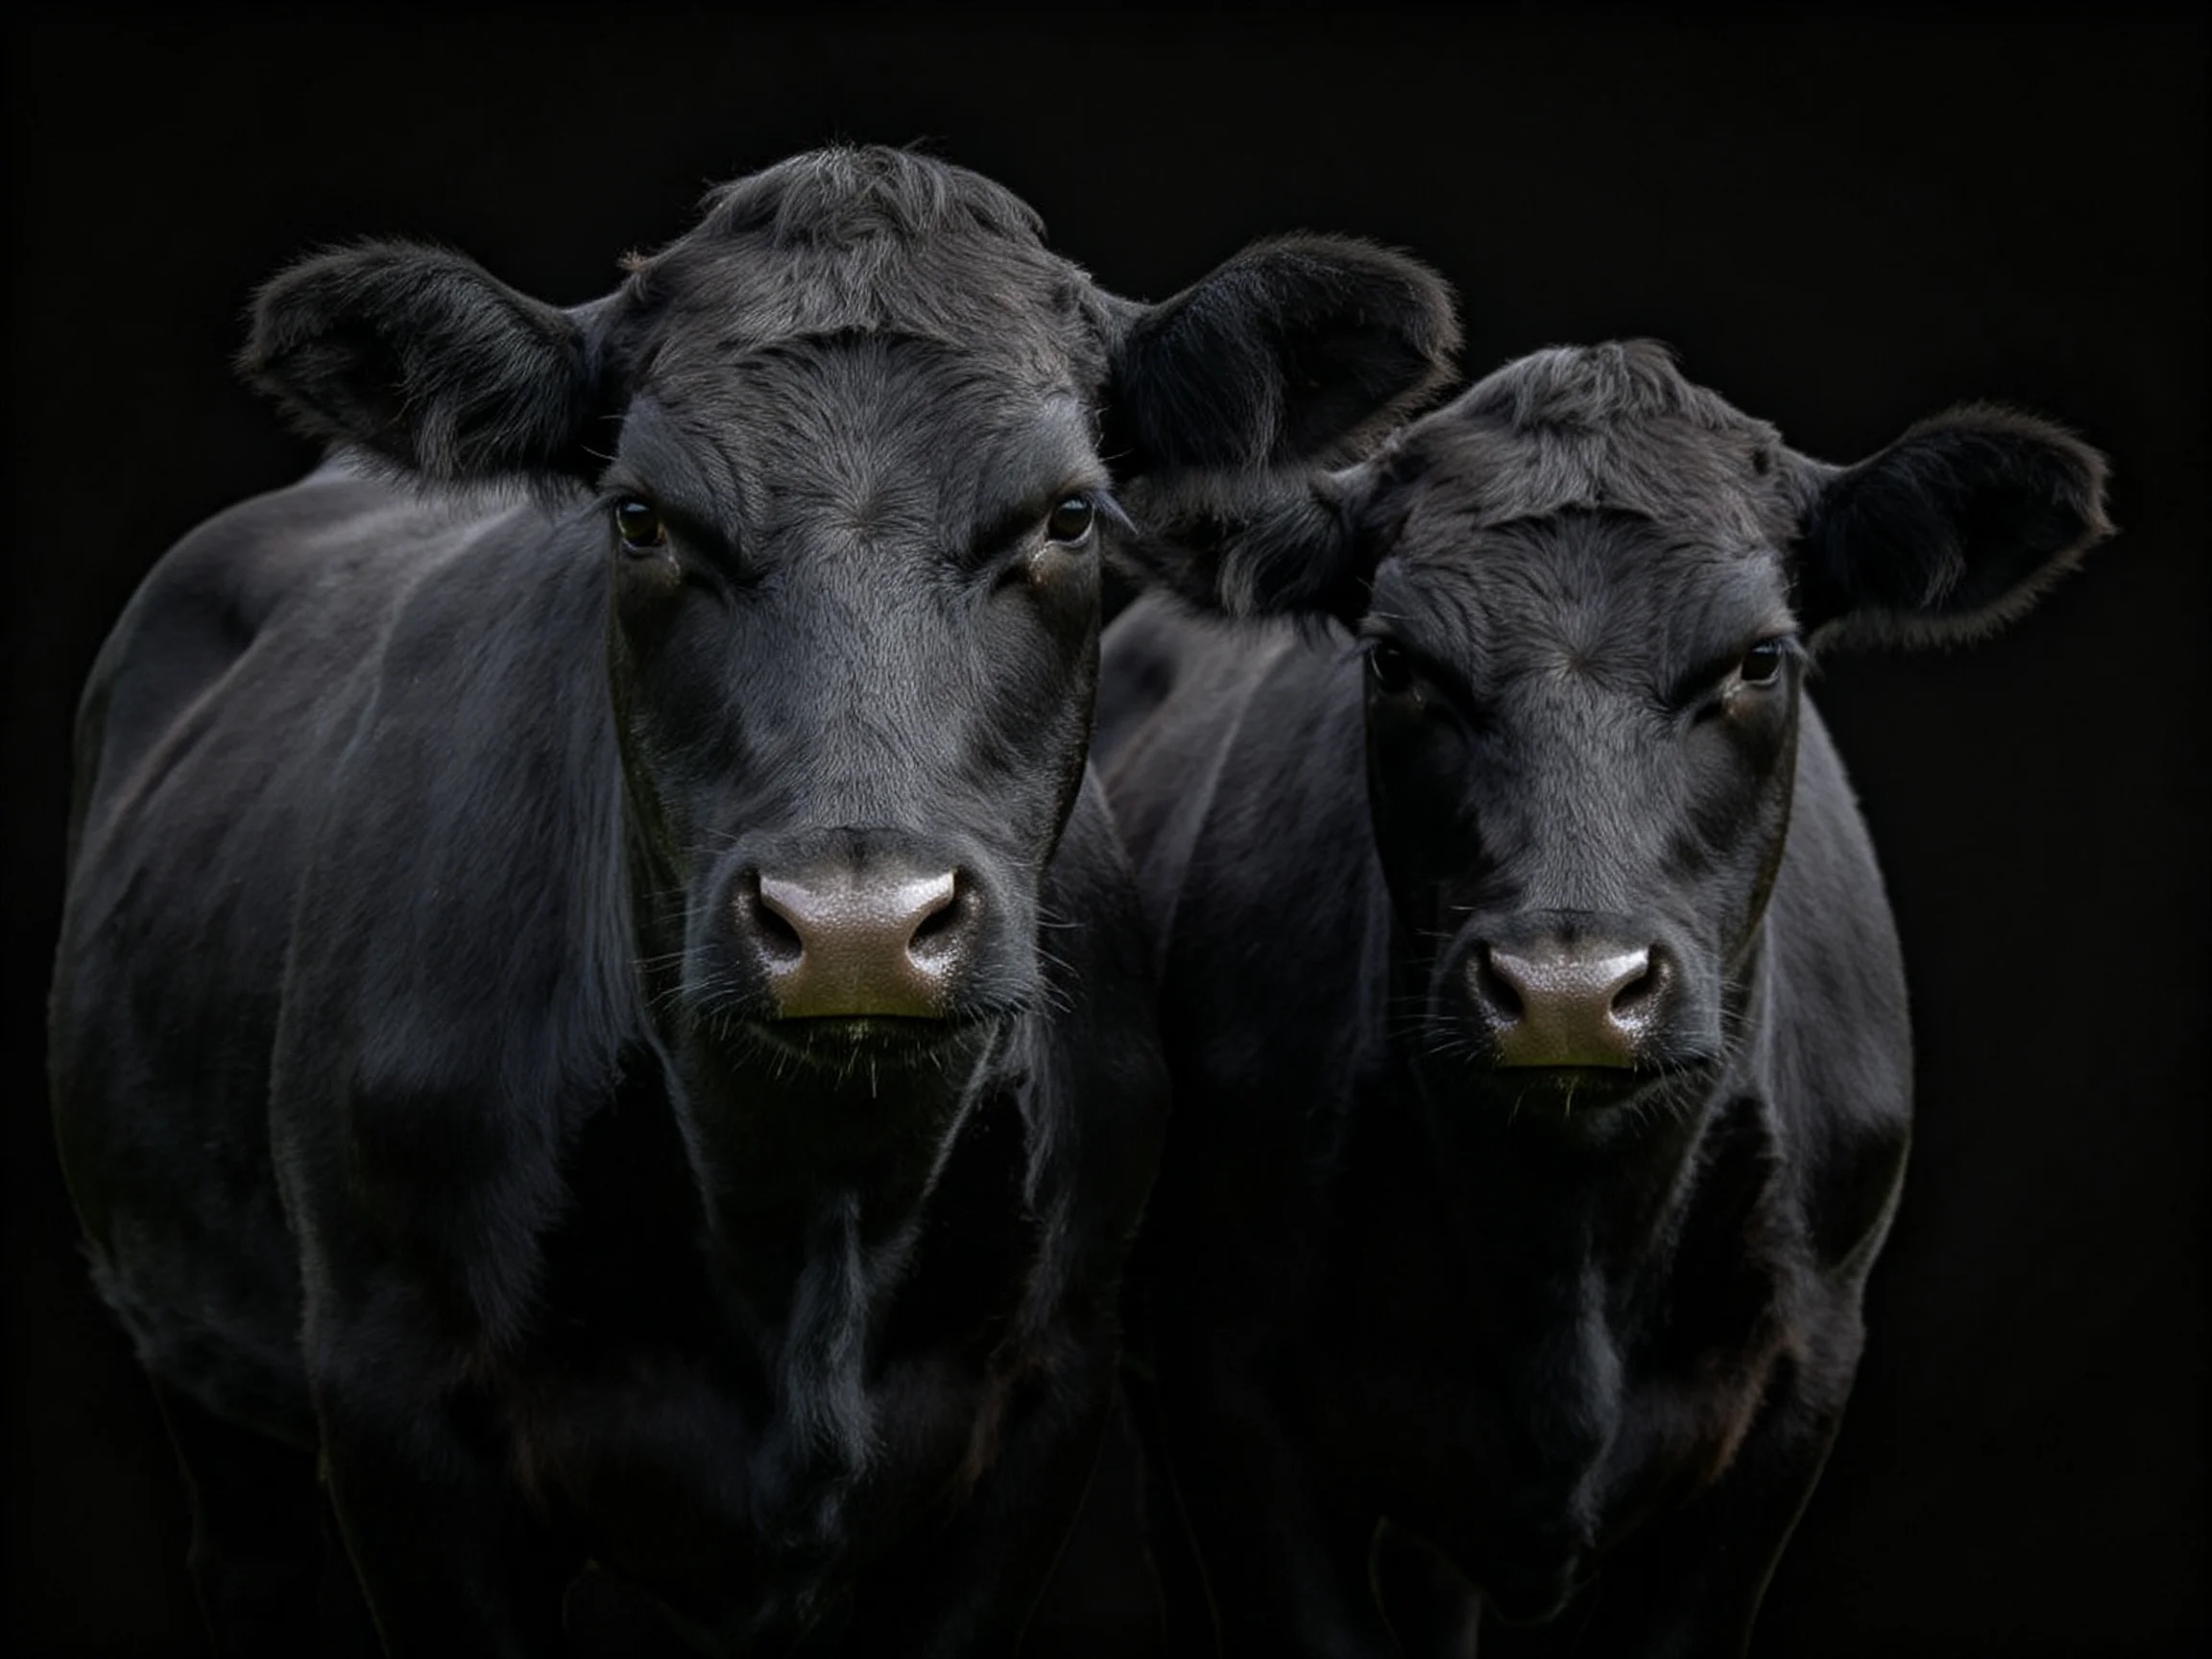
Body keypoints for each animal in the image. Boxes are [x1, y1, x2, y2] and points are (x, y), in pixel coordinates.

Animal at [45, 145, 1459, 1657]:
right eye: (640, 517)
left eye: (1069, 515)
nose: (855, 928)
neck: (808, 1207)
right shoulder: (393, 1401)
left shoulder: (1044, 1396)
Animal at [1094, 340, 2111, 1657]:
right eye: (1395, 660)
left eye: (1758, 658)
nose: (1570, 991)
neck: (1563, 1245)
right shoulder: (1224, 1374)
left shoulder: (1800, 1383)